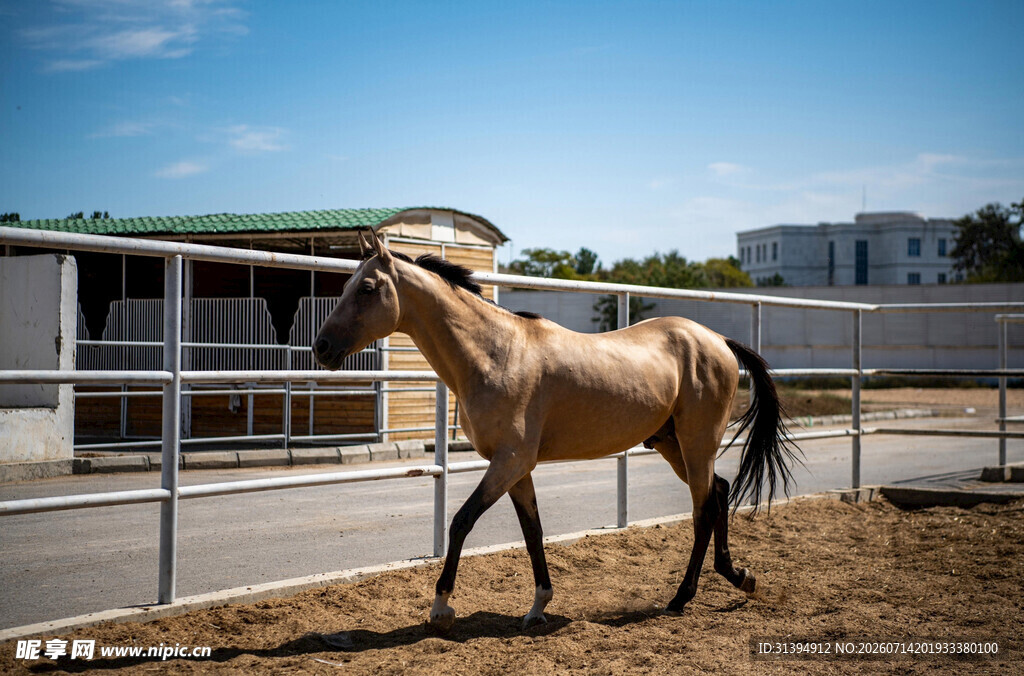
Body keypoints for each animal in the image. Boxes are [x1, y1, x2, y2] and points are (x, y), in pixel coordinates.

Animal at [314, 230, 798, 632]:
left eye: (367, 289)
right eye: (345, 286)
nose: (321, 347)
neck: (495, 354)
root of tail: (718, 340)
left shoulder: (509, 462)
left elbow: (461, 521)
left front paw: (441, 607)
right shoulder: (516, 469)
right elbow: (533, 533)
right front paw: (538, 607)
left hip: (697, 443)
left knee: (703, 509)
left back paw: (681, 598)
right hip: (672, 444)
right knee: (718, 493)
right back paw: (740, 577)